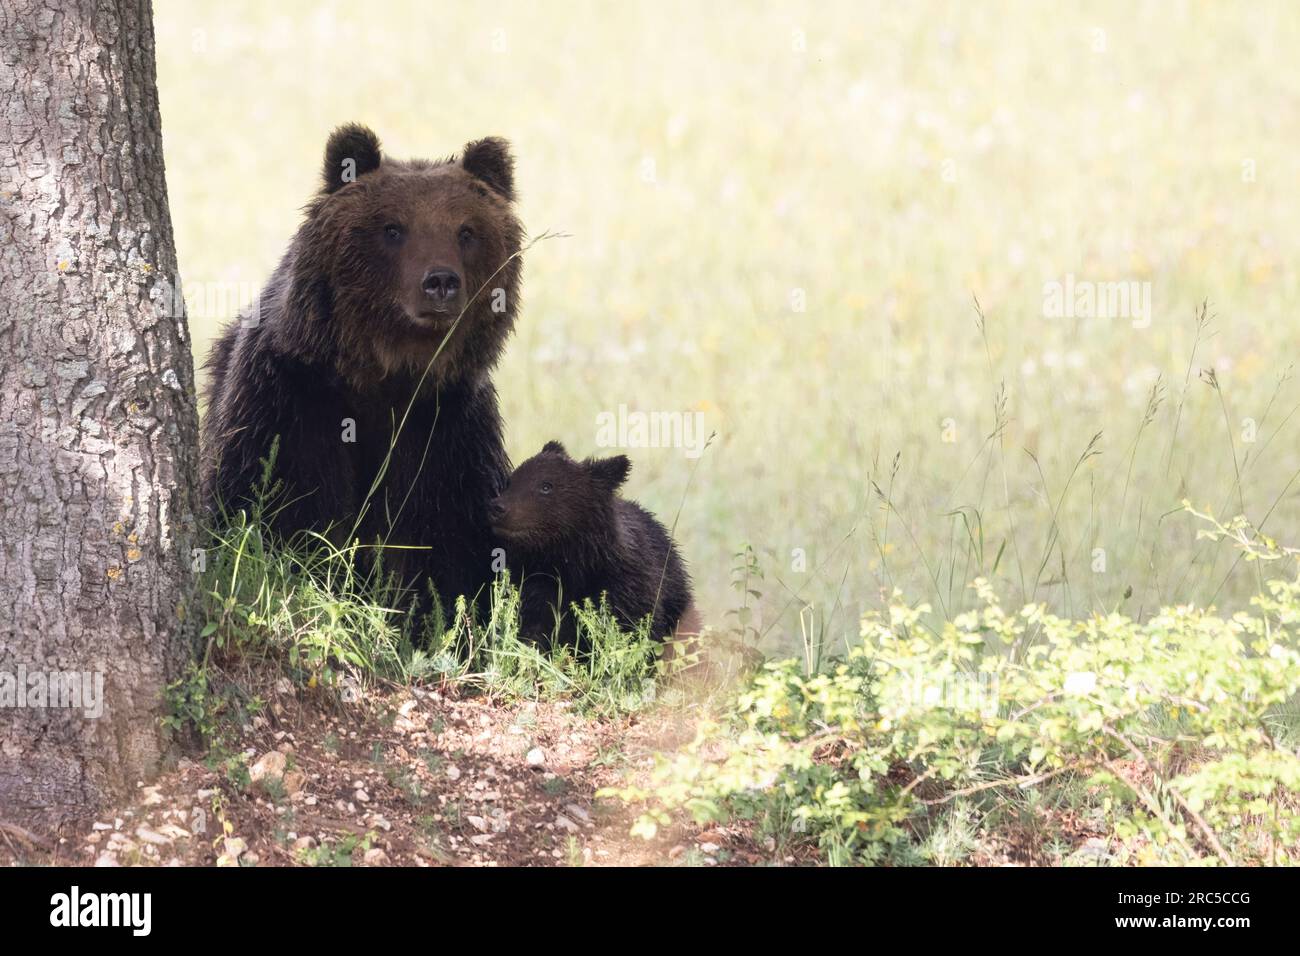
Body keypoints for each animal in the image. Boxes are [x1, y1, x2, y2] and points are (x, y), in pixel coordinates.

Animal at [200, 125, 520, 613]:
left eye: (466, 231)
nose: (441, 281)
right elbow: (276, 508)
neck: (385, 374)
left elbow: (453, 542)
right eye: (393, 228)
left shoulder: (446, 427)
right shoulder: (292, 402)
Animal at [488, 442, 696, 655]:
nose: (497, 507)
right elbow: (533, 629)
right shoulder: (534, 583)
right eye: (511, 481)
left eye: (546, 486)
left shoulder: (627, 586)